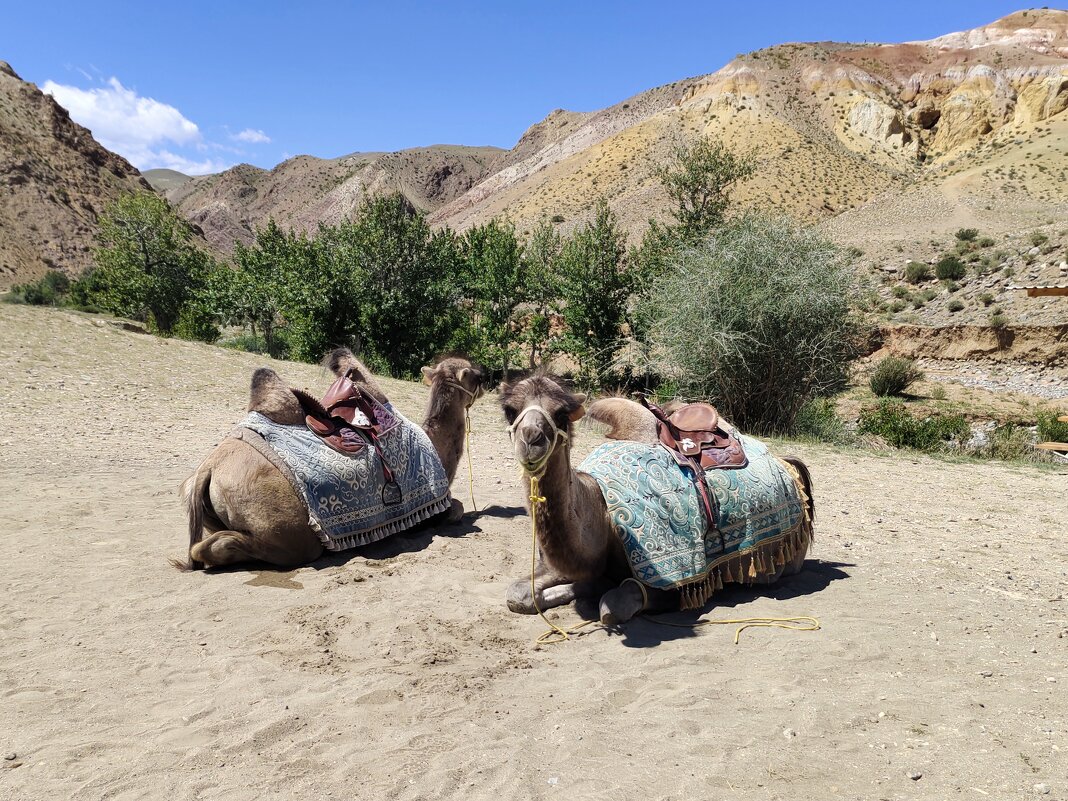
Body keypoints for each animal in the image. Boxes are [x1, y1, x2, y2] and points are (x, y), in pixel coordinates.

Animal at [179, 350, 484, 572]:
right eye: (473, 375)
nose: (488, 376)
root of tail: (209, 468)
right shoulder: (431, 502)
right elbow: (456, 508)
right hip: (289, 532)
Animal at [495, 373, 811, 623]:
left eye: (560, 413)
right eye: (510, 410)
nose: (531, 439)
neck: (601, 512)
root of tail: (789, 468)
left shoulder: (677, 583)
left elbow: (613, 605)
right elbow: (518, 594)